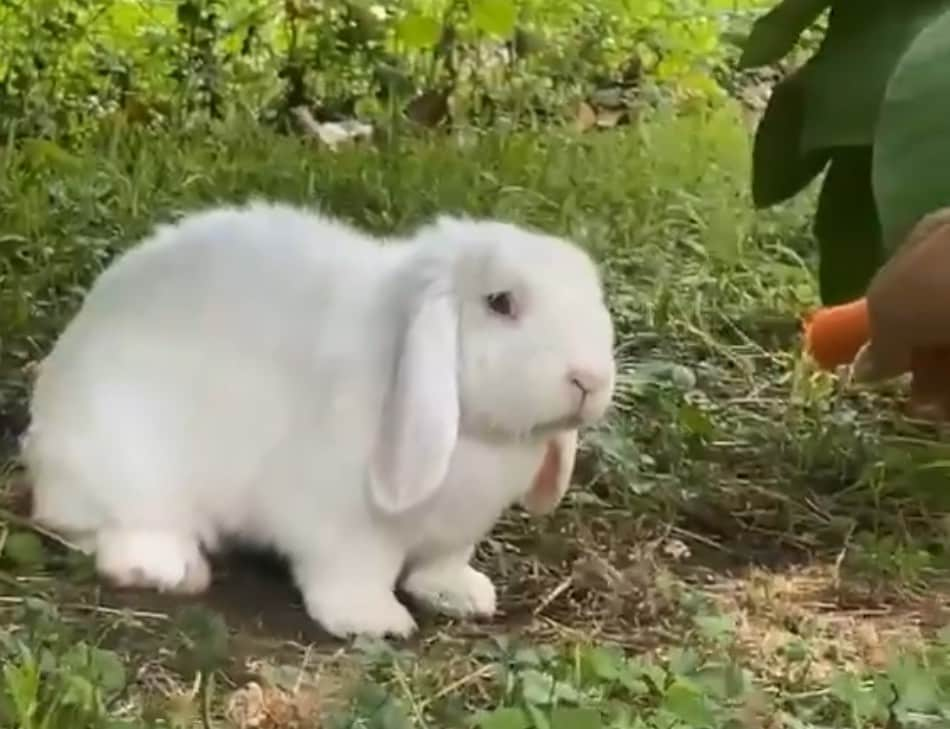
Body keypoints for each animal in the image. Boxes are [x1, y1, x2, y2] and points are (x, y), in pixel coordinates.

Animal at [22, 199, 620, 636]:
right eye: (500, 303)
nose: (589, 379)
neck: (478, 436)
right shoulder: (343, 526)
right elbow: (355, 573)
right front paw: (377, 623)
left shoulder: (455, 535)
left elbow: (443, 565)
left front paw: (464, 595)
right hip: (125, 470)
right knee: (105, 531)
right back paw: (170, 569)